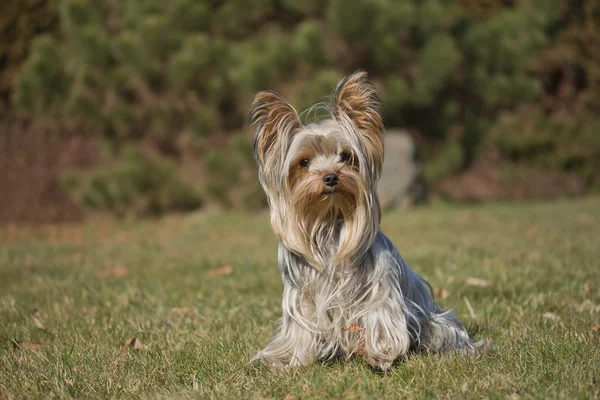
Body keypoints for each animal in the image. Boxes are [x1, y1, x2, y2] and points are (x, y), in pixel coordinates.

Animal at [246, 69, 486, 372]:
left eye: (346, 156)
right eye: (303, 162)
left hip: (438, 323)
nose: (330, 177)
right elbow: (303, 327)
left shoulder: (379, 289)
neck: (329, 221)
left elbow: (379, 316)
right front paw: (293, 360)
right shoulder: (303, 297)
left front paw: (379, 354)